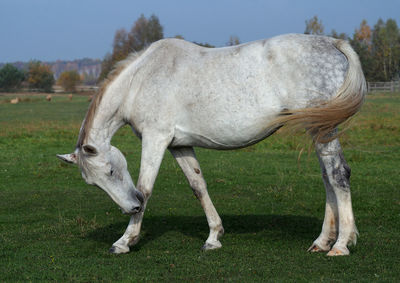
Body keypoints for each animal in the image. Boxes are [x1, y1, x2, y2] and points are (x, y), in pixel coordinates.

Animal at [56, 33, 366, 258]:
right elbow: (198, 186)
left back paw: (341, 245)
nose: (130, 208)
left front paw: (125, 241)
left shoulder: (155, 139)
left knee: (338, 175)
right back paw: (322, 241)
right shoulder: (178, 145)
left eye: (111, 171)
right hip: (319, 130)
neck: (141, 79)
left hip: (324, 129)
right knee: (327, 178)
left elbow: (146, 188)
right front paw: (214, 236)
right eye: (94, 184)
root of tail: (333, 43)